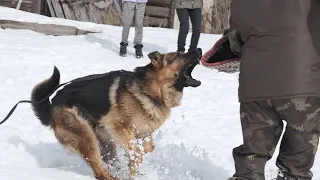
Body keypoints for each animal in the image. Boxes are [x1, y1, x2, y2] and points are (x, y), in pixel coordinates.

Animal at [31, 48, 202, 179]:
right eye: (179, 55)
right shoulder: (118, 126)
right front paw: (134, 163)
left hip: (105, 143)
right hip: (86, 136)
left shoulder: (143, 132)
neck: (151, 91)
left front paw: (135, 165)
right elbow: (136, 150)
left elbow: (148, 148)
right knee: (98, 171)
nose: (199, 49)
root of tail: (51, 105)